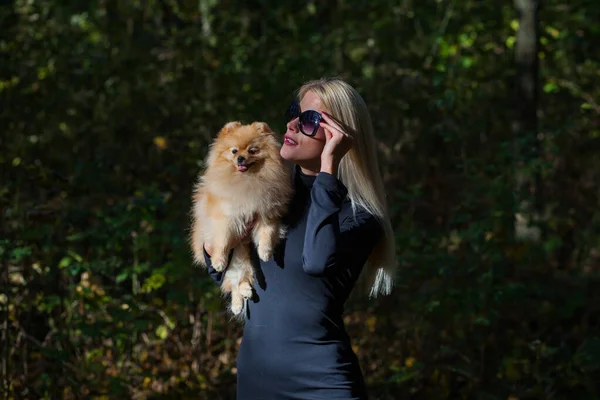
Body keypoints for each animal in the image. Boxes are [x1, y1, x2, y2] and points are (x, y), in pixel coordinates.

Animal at [190, 121, 292, 316]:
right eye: (234, 151)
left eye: (252, 150)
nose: (240, 159)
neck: (247, 181)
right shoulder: (225, 219)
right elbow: (222, 242)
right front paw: (218, 262)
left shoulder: (265, 213)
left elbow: (267, 234)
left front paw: (265, 252)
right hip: (237, 254)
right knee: (232, 280)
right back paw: (238, 302)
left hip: (244, 255)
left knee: (240, 279)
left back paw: (244, 292)